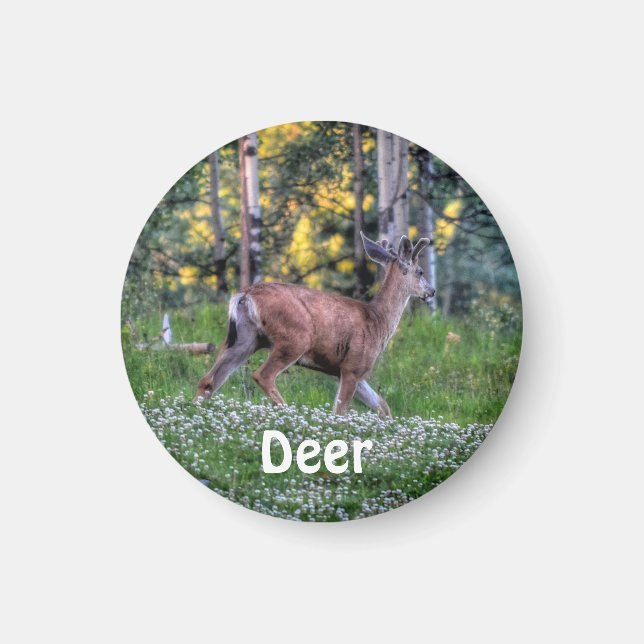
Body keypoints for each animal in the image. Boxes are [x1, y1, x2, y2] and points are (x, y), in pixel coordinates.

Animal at [194, 232, 435, 417]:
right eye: (420, 271)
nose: (431, 291)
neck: (378, 319)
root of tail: (244, 295)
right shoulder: (353, 365)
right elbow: (340, 411)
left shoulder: (348, 370)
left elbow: (383, 406)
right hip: (294, 338)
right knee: (262, 375)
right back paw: (287, 412)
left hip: (245, 338)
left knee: (208, 380)